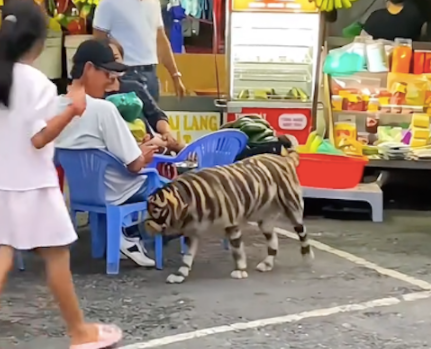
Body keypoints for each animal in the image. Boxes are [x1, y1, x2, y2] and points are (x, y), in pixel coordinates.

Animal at [143, 149, 312, 282]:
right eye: (147, 209)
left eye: (155, 210)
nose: (144, 224)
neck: (191, 204)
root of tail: (284, 158)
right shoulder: (192, 232)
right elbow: (187, 257)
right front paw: (180, 274)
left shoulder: (232, 226)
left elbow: (237, 251)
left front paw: (240, 270)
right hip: (265, 220)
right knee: (273, 241)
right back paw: (267, 263)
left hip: (293, 209)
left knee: (303, 233)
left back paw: (307, 257)